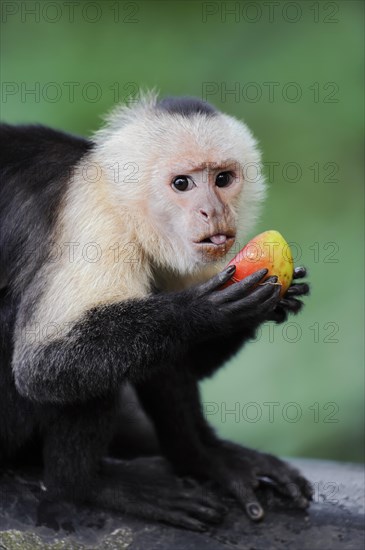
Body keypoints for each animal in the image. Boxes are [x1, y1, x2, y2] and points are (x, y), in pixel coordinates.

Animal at [0, 95, 310, 536]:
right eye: (182, 184)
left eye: (223, 179)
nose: (212, 212)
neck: (118, 199)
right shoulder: (96, 225)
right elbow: (43, 368)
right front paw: (199, 312)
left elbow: (179, 360)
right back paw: (86, 486)